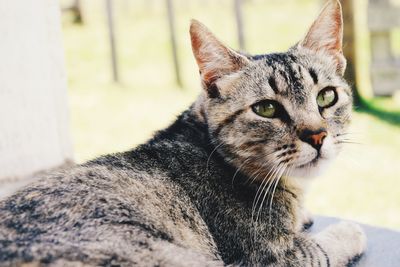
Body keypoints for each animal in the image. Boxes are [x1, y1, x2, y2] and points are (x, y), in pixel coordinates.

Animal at [0, 1, 366, 266]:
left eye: (326, 97)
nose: (317, 135)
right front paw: (348, 231)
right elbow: (322, 249)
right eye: (266, 109)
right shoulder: (272, 258)